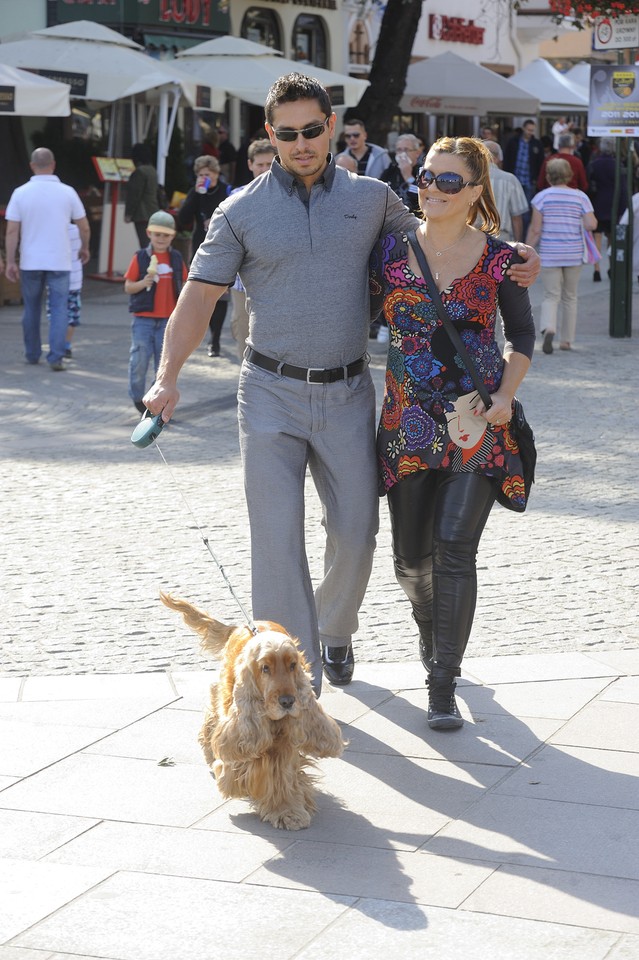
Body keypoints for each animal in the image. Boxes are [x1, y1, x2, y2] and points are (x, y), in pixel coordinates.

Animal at [160, 592, 345, 830]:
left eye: (293, 665)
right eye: (265, 668)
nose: (288, 702)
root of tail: (241, 626)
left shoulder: (285, 744)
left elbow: (282, 775)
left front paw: (288, 811)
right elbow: (236, 765)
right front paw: (232, 782)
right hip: (222, 693)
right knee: (213, 708)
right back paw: (209, 749)